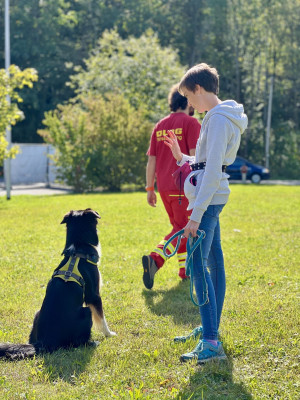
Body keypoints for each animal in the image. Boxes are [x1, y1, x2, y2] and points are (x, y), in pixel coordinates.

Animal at [0, 209, 115, 360]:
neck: (77, 249)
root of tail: (44, 342)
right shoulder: (94, 295)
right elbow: (102, 319)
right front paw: (109, 334)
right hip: (86, 312)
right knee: (78, 342)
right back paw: (93, 343)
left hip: (37, 313)